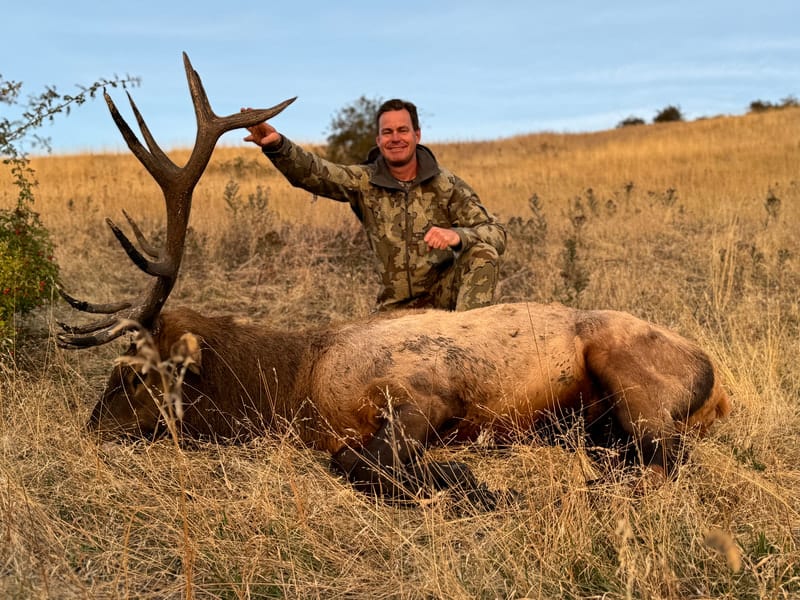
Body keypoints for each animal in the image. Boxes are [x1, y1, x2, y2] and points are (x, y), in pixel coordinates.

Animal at [58, 53, 731, 511]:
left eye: (135, 374)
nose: (88, 431)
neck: (295, 386)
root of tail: (716, 380)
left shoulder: (428, 394)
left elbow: (357, 462)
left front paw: (471, 484)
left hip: (633, 381)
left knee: (670, 459)